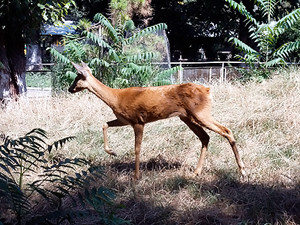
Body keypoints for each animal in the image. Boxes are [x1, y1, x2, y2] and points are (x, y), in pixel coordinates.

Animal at [69, 61, 245, 179]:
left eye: (77, 77)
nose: (70, 89)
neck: (115, 98)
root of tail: (208, 90)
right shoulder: (124, 119)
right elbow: (104, 124)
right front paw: (112, 152)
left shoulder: (138, 121)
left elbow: (137, 148)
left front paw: (136, 176)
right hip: (187, 117)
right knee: (205, 137)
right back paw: (196, 172)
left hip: (201, 113)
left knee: (226, 130)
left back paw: (242, 170)